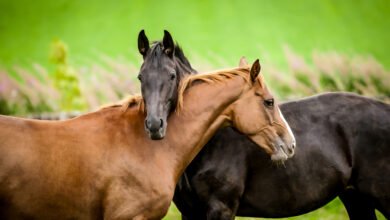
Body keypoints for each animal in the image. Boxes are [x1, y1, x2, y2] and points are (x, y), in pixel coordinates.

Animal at [136, 31, 388, 219]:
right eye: (141, 77)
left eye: (171, 76)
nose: (155, 125)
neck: (209, 143)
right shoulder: (190, 212)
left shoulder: (221, 208)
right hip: (356, 199)